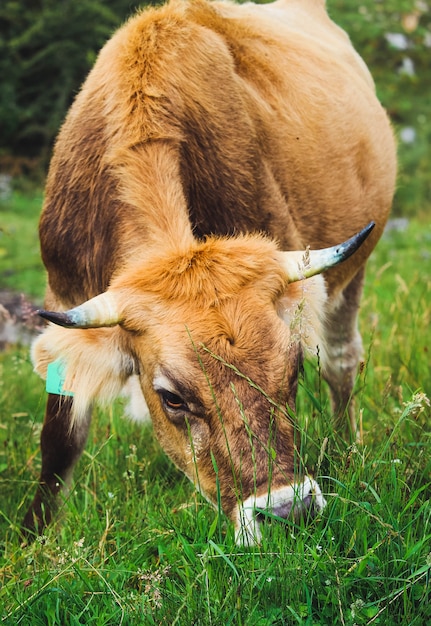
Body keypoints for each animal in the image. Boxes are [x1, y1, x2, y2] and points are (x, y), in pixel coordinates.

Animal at [22, 0, 394, 540]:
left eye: (293, 368)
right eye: (172, 398)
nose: (287, 512)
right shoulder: (63, 298)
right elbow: (59, 438)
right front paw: (34, 532)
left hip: (351, 275)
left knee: (342, 362)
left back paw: (346, 444)